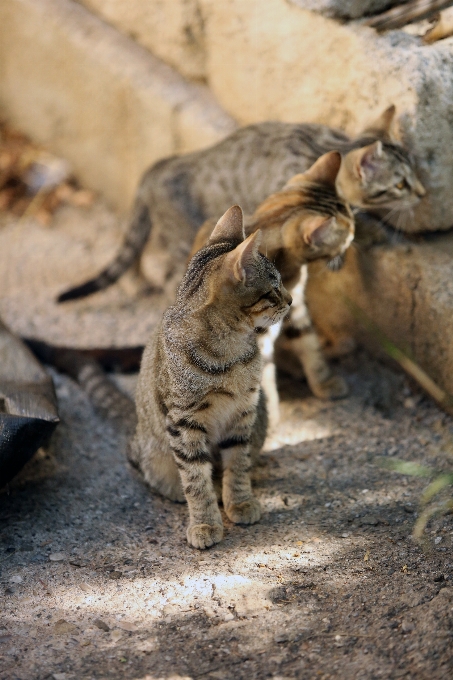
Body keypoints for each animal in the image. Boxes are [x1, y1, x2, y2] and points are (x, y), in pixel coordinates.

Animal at [127, 205, 290, 548]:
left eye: (283, 284)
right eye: (273, 290)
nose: (291, 300)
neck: (231, 353)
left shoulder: (244, 411)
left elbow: (238, 463)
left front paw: (240, 501)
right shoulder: (183, 421)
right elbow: (195, 479)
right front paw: (204, 523)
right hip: (155, 454)